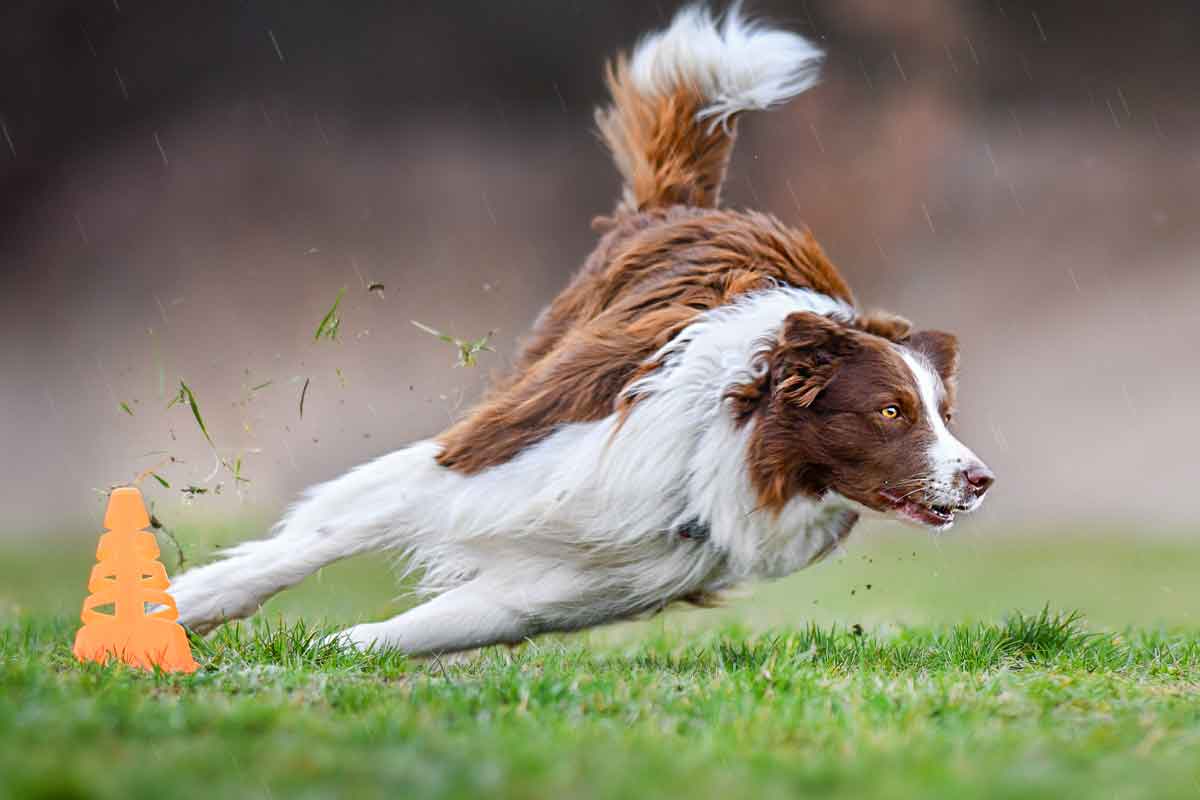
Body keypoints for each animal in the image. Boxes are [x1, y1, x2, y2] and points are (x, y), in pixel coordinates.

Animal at [169, 6, 993, 652]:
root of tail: (686, 206)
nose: (981, 479)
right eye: (890, 411)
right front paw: (178, 607)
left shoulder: (584, 581)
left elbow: (410, 630)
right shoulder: (488, 457)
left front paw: (329, 651)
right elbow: (311, 541)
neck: (729, 451)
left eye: (945, 414)